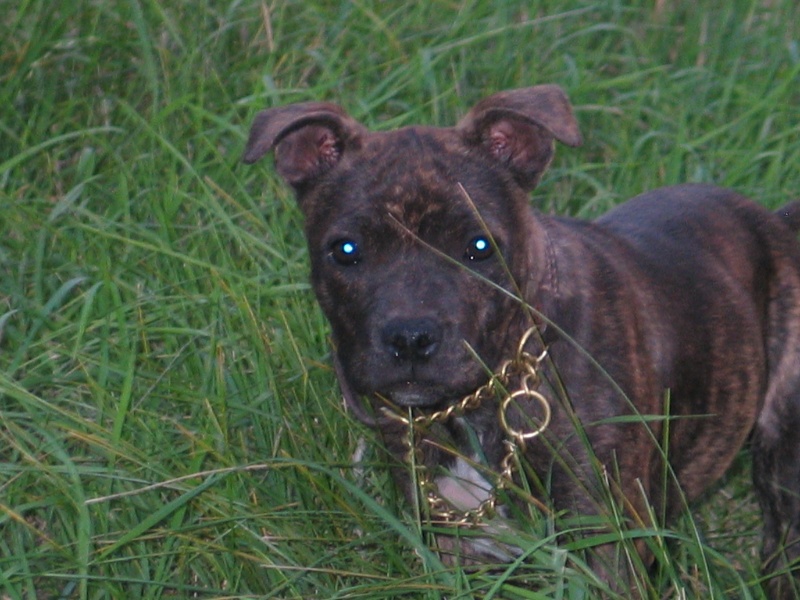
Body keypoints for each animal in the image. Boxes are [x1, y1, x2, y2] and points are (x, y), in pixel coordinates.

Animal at [242, 86, 800, 596]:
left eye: (480, 247)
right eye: (346, 250)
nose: (410, 337)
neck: (482, 396)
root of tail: (775, 223)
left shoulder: (604, 539)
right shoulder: (447, 541)